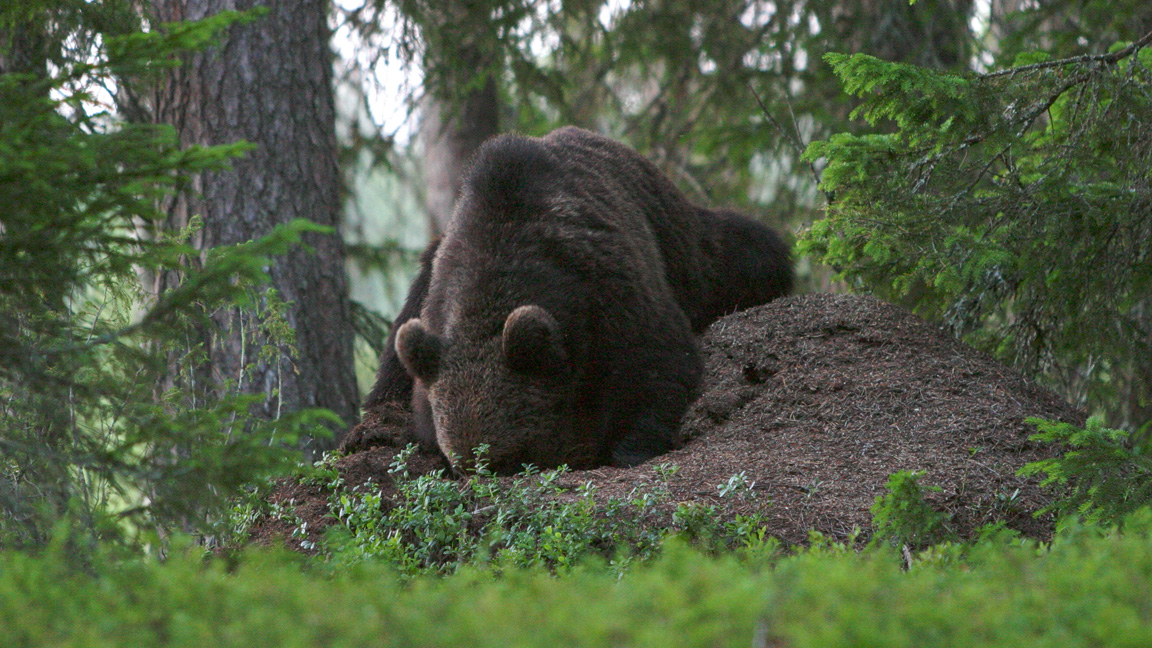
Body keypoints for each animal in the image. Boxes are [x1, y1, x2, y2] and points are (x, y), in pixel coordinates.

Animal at [364, 126, 787, 472]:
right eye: (462, 464)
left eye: (509, 457)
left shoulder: (610, 292)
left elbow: (658, 367)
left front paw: (627, 446)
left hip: (686, 248)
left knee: (744, 250)